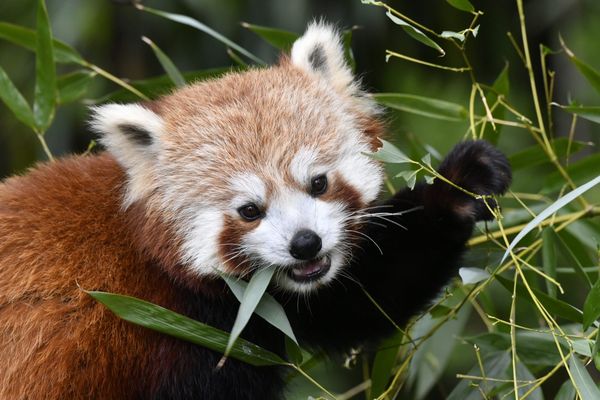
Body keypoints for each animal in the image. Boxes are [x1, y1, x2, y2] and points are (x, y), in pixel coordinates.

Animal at [0, 23, 510, 398]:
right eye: (249, 210)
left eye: (318, 183)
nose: (305, 244)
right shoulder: (178, 334)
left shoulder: (270, 307)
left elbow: (365, 292)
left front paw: (463, 182)